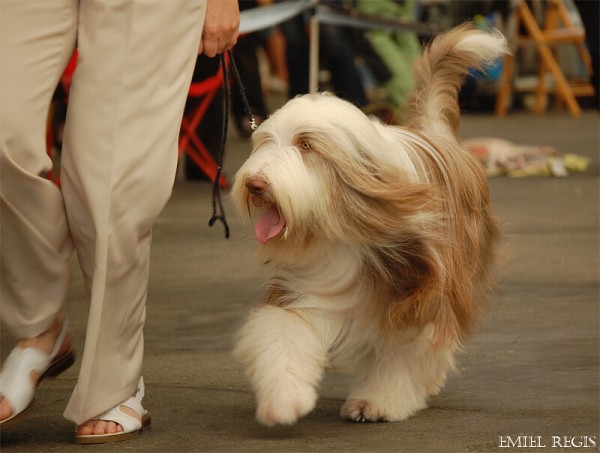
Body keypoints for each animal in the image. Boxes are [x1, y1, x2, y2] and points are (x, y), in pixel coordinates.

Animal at [230, 23, 506, 426]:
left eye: (306, 145)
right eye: (265, 141)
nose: (255, 184)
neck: (342, 228)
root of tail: (436, 134)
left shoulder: (421, 289)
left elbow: (404, 353)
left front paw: (376, 402)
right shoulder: (310, 286)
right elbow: (284, 332)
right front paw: (282, 398)